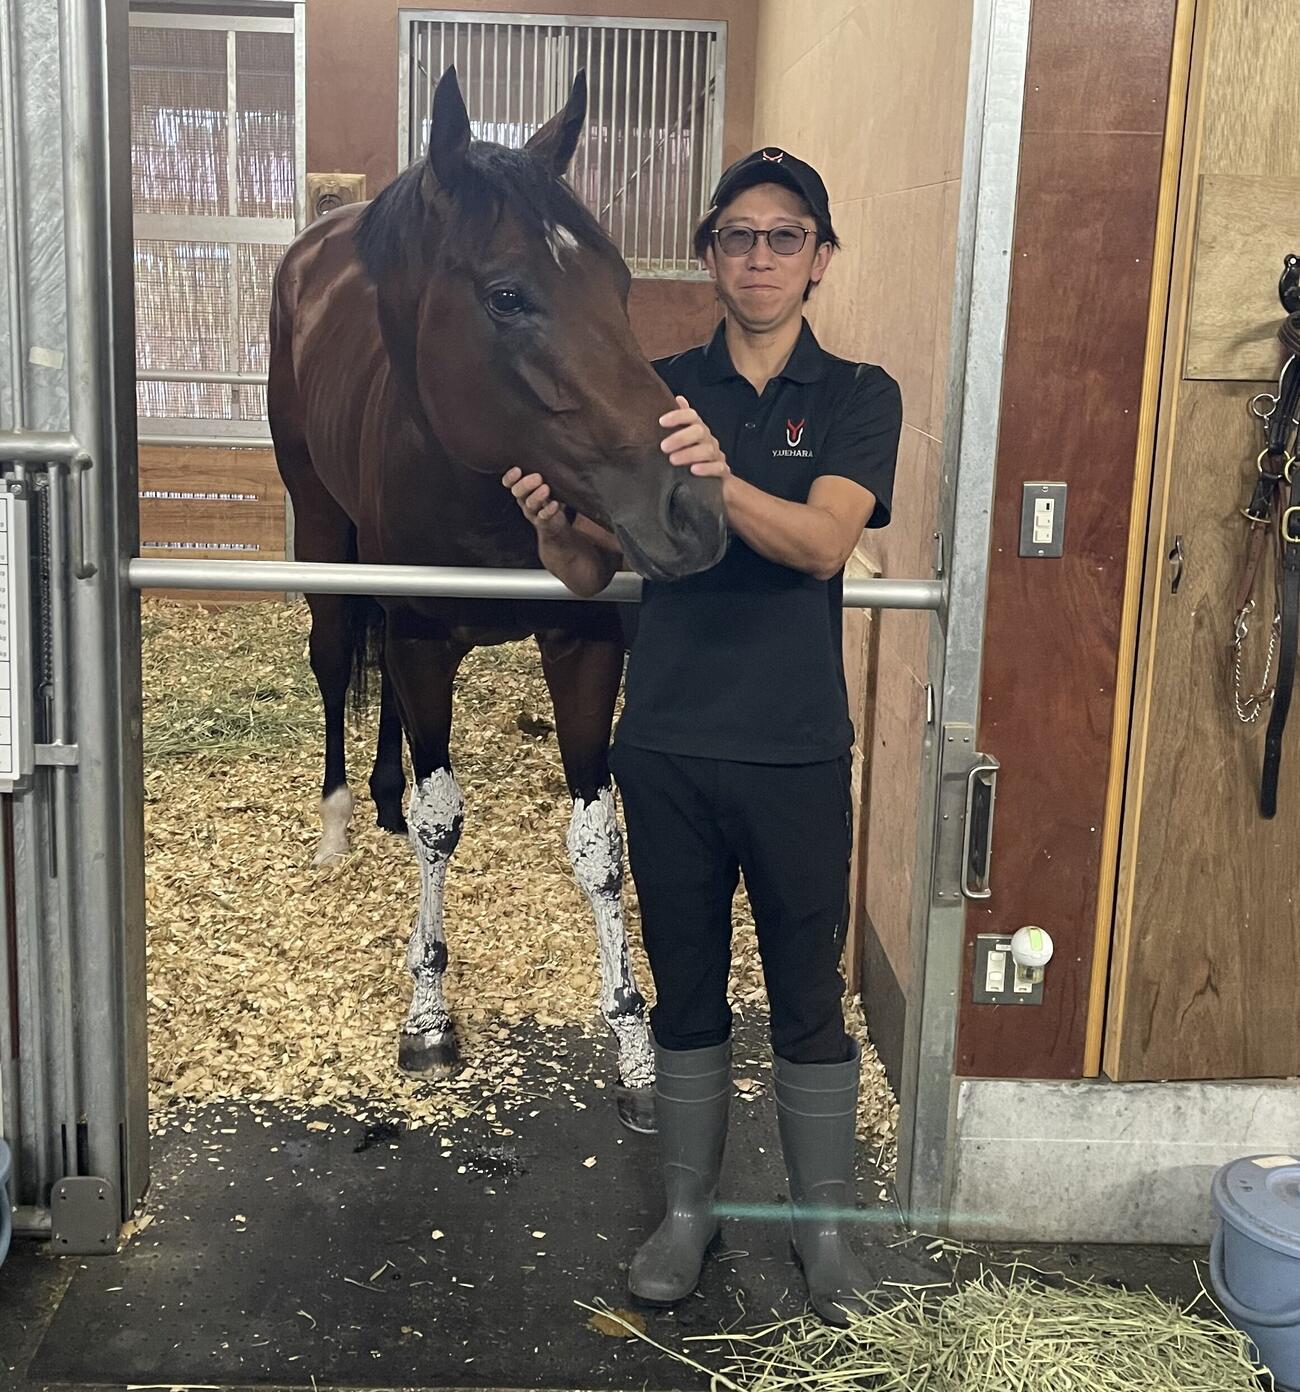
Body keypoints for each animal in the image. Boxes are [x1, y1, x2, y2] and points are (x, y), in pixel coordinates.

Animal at [266, 66, 727, 1131]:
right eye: (508, 296)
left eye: (622, 286)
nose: (690, 509)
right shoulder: (422, 637)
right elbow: (443, 819)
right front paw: (429, 1013)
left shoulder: (583, 646)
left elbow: (599, 840)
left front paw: (634, 1042)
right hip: (323, 528)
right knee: (334, 658)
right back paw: (342, 819)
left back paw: (381, 802)